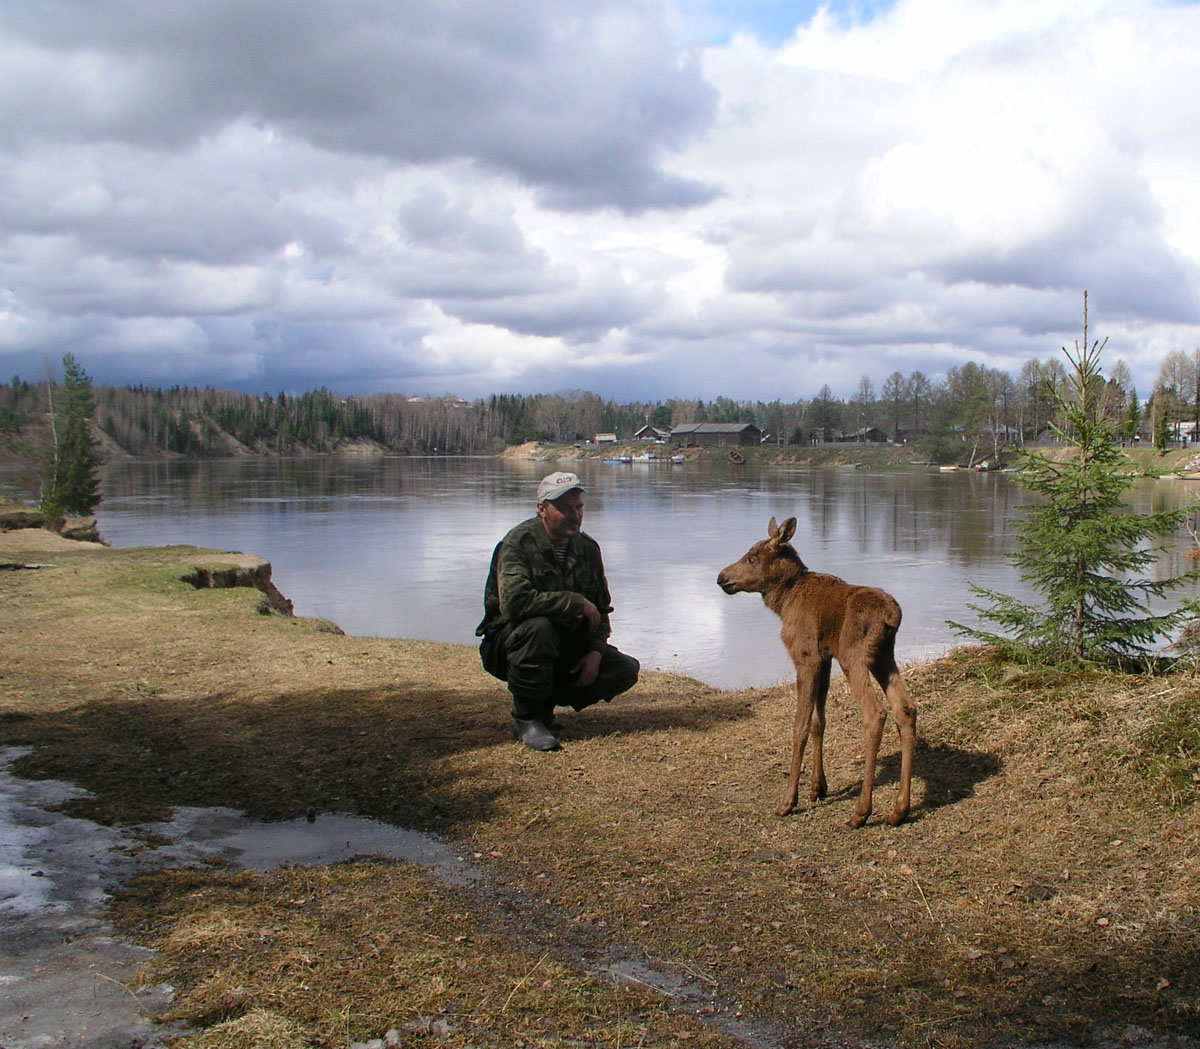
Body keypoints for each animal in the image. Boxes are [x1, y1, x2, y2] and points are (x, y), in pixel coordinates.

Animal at [710, 516, 916, 825]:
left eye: (752, 558)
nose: (722, 577)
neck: (783, 602)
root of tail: (893, 617)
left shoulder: (806, 656)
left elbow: (800, 726)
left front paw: (789, 800)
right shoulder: (824, 658)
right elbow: (819, 721)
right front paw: (818, 787)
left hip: (855, 656)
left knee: (875, 713)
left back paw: (861, 811)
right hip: (884, 657)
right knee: (905, 708)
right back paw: (899, 809)